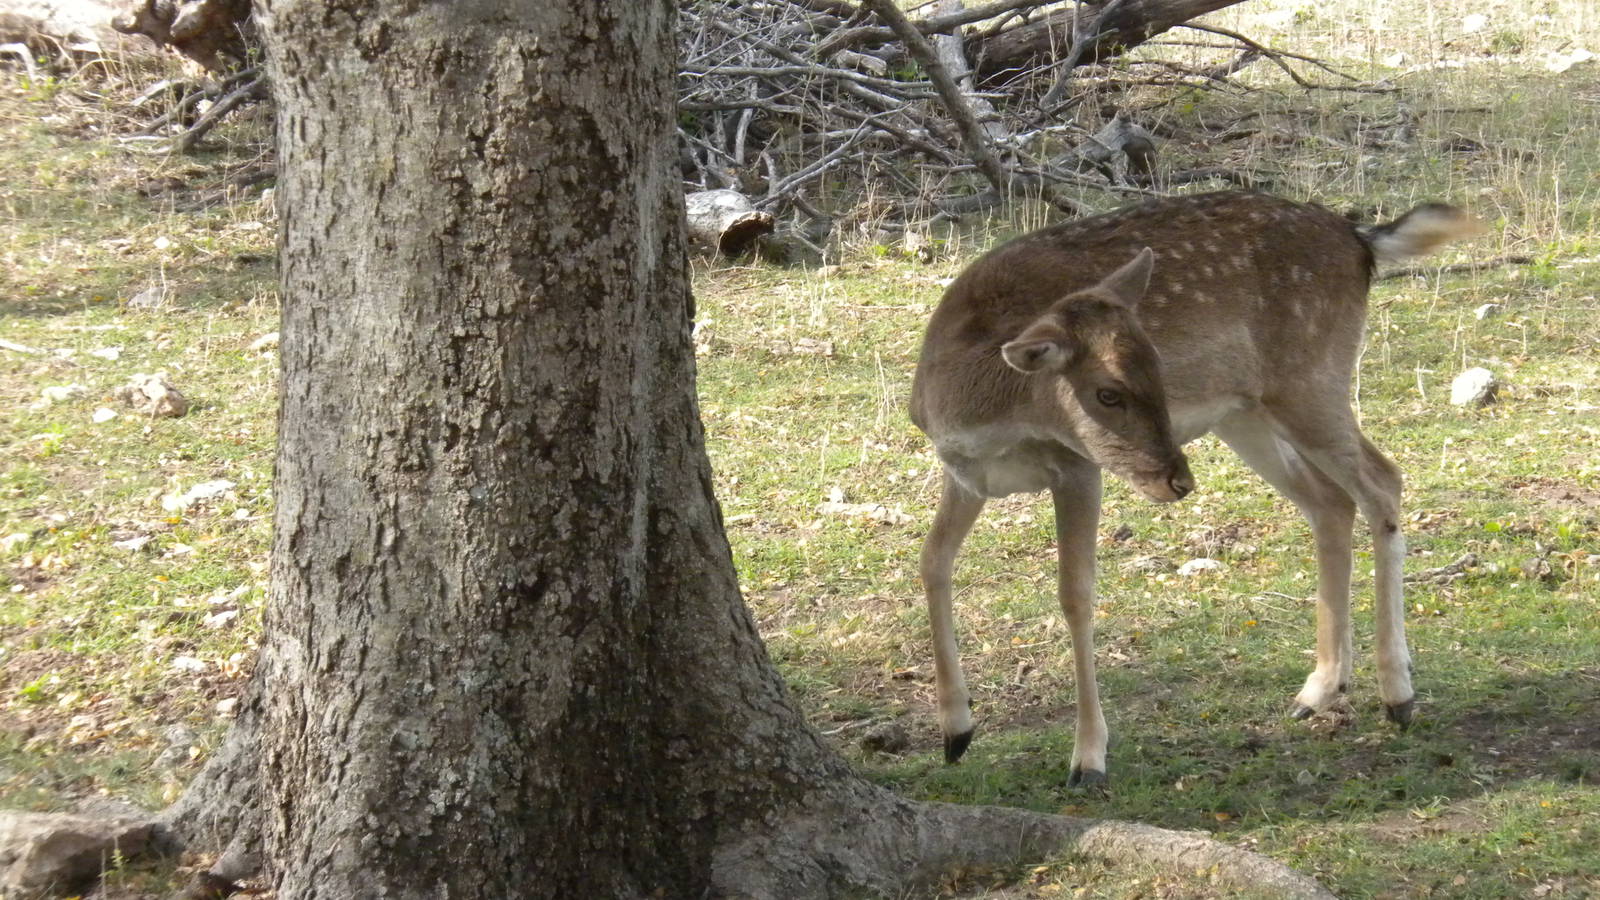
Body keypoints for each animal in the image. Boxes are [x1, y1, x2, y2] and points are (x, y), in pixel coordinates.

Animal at [908, 191, 1481, 787]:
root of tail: (1360, 240)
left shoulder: (1077, 466)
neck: (976, 416)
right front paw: (955, 731)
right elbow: (931, 562)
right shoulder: (965, 475)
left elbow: (1075, 594)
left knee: (1382, 480)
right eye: (1108, 393)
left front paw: (1088, 758)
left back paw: (1398, 695)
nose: (1177, 480)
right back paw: (1319, 690)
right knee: (1331, 502)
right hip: (1245, 410)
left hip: (1309, 379)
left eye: (1160, 372)